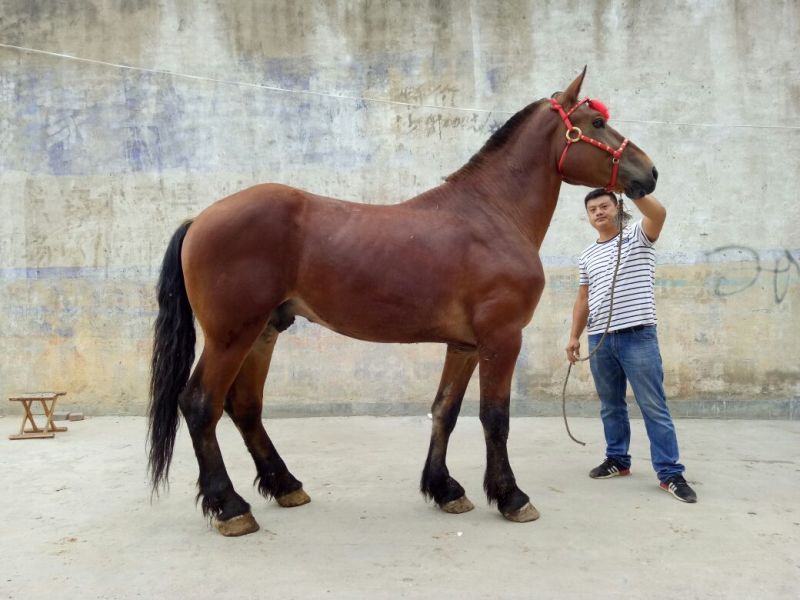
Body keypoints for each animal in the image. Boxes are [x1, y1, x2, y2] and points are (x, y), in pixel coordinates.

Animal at [148, 68, 657, 536]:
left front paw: (445, 489)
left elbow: (444, 411)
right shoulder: (501, 338)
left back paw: (285, 485)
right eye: (596, 122)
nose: (649, 173)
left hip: (264, 332)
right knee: (201, 404)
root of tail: (199, 219)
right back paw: (230, 507)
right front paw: (511, 496)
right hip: (231, 336)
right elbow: (494, 417)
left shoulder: (465, 345)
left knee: (245, 407)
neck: (493, 213)